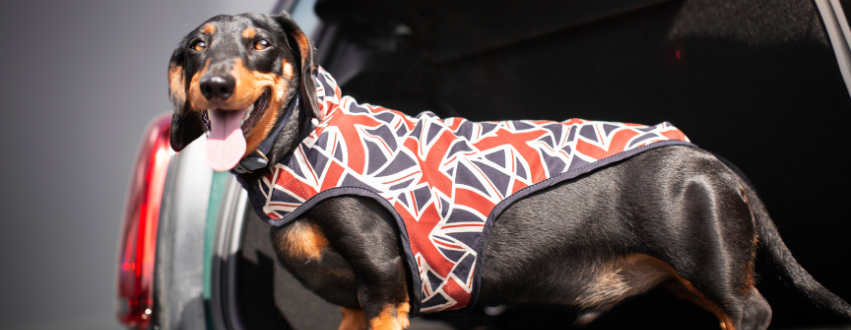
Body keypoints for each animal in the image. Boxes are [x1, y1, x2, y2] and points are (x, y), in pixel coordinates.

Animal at [168, 11, 851, 328]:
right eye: (198, 46)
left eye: (261, 44)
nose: (214, 84)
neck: (301, 146)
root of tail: (708, 157)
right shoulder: (353, 306)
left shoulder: (384, 290)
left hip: (720, 278)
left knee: (753, 312)